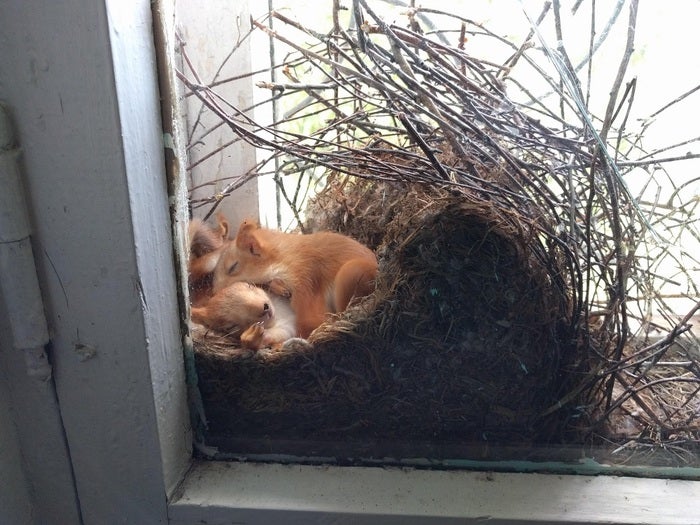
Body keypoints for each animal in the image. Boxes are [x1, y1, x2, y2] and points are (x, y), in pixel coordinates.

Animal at [213, 220, 378, 336]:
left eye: (233, 267)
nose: (214, 293)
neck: (284, 257)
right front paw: (279, 288)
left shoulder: (305, 278)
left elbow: (309, 317)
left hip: (351, 274)